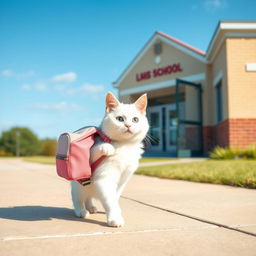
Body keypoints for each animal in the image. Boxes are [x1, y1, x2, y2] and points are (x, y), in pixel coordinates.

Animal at [71, 91, 149, 226]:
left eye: (135, 119)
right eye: (120, 119)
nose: (128, 125)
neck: (124, 146)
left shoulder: (123, 179)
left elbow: (115, 197)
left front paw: (116, 211)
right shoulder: (104, 177)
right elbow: (109, 199)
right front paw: (115, 218)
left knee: (88, 198)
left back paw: (91, 207)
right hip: (79, 186)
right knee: (78, 198)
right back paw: (81, 211)